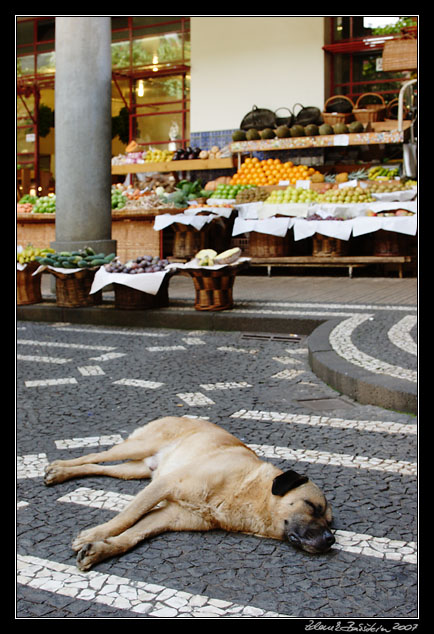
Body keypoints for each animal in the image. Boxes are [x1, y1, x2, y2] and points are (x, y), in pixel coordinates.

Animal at [44, 414, 334, 568]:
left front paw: (101, 549)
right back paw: (58, 468)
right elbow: (126, 517)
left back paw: (62, 473)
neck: (247, 491)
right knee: (94, 455)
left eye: (331, 523)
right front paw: (94, 534)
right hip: (138, 447)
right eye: (312, 506)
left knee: (98, 467)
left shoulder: (167, 516)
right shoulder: (165, 485)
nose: (330, 540)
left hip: (136, 469)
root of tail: (182, 415)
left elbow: (132, 536)